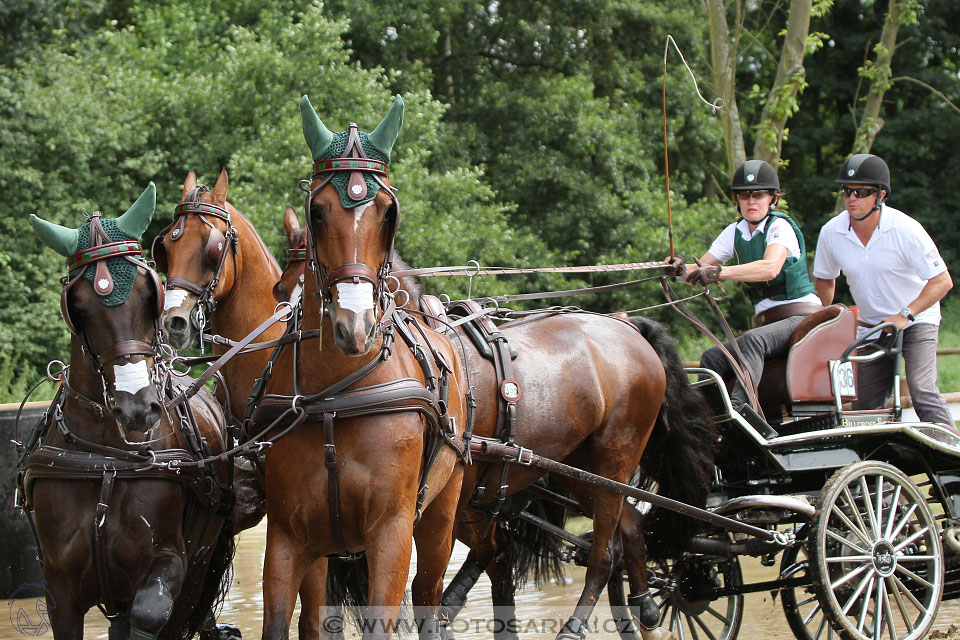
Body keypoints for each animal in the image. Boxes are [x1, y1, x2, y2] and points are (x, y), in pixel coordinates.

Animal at [22, 181, 234, 640]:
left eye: (146, 290)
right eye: (78, 306)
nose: (137, 407)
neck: (107, 461)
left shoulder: (168, 565)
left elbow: (151, 613)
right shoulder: (58, 586)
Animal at [249, 96, 470, 640]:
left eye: (388, 212)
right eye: (318, 210)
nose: (355, 325)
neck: (336, 398)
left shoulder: (391, 533)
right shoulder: (287, 537)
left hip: (439, 520)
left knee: (430, 596)